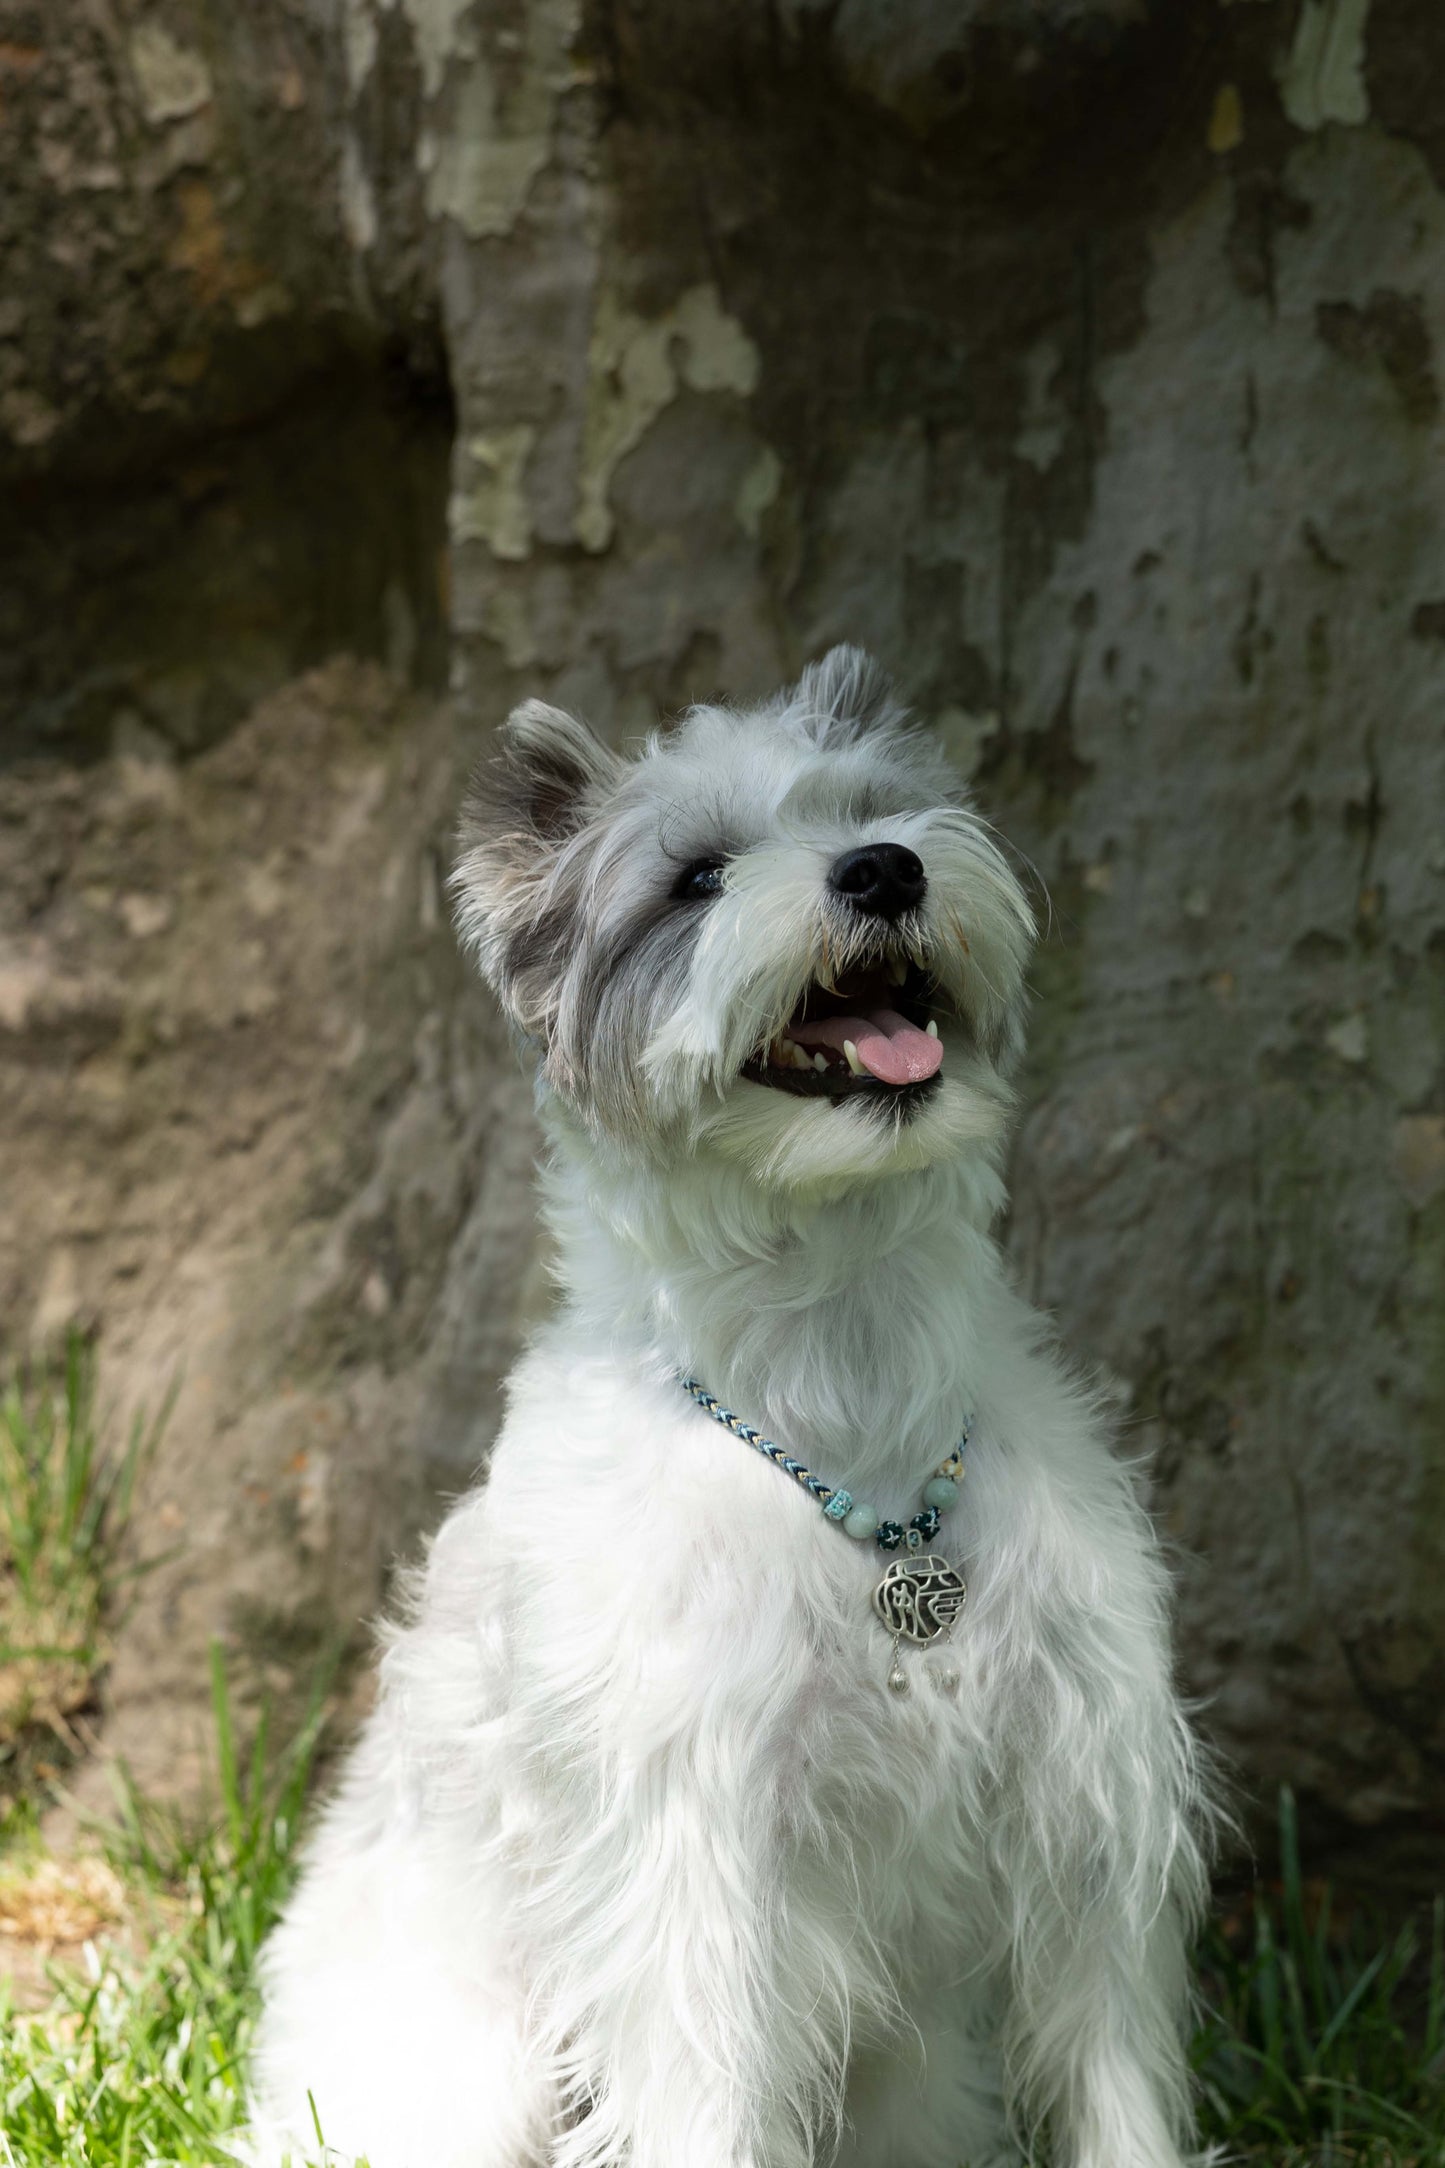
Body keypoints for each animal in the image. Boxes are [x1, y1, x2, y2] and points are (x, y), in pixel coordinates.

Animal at [251, 650, 1221, 2168]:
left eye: (875, 809)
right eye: (694, 878)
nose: (884, 869)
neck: (840, 1396)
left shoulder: (1086, 1821)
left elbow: (1111, 2090)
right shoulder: (692, 1873)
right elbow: (704, 2098)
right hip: (462, 2086)